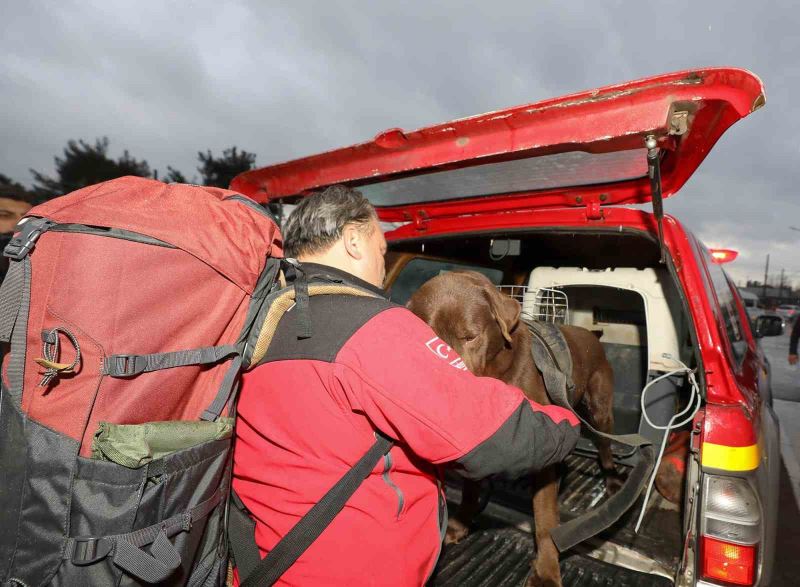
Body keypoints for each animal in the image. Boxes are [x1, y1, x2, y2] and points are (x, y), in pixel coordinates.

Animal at [410, 272, 620, 587]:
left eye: (470, 336)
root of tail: (589, 336)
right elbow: (471, 488)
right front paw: (459, 525)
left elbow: (544, 517)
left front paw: (546, 572)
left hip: (599, 409)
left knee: (605, 447)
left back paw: (613, 481)